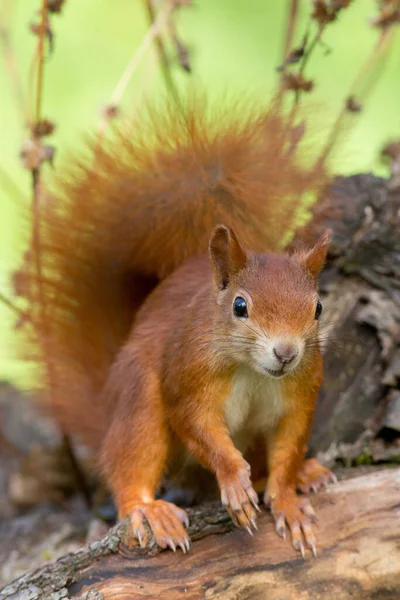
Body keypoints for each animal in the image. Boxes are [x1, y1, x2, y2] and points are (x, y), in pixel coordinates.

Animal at [21, 99, 338, 556]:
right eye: (240, 306)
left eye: (318, 307)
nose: (286, 352)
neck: (252, 371)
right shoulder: (186, 376)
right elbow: (197, 425)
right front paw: (234, 481)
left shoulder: (299, 394)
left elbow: (289, 448)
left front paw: (289, 503)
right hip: (138, 400)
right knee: (131, 461)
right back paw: (150, 509)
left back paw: (305, 474)